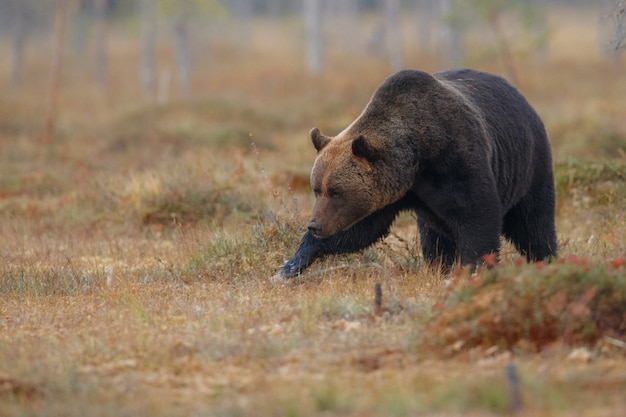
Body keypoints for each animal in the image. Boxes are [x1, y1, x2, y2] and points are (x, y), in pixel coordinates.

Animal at [272, 68, 556, 282]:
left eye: (336, 191)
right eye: (316, 189)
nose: (314, 224)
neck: (417, 159)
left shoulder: (457, 162)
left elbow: (478, 217)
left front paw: (475, 269)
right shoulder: (391, 193)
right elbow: (359, 230)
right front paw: (289, 265)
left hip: (529, 163)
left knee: (534, 222)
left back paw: (547, 259)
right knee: (434, 237)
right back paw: (438, 266)